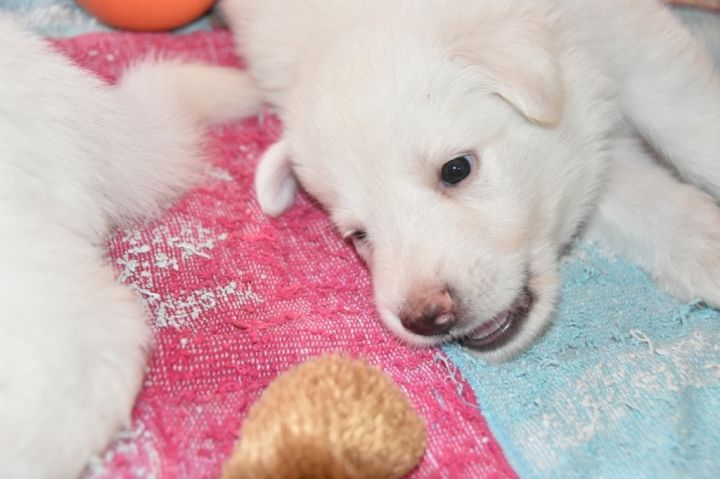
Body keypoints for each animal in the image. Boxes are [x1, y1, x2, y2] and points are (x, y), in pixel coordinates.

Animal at [205, 0, 720, 362]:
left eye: (456, 169)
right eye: (359, 235)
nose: (425, 316)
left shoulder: (635, 40)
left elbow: (688, 122)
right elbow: (626, 191)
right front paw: (702, 245)